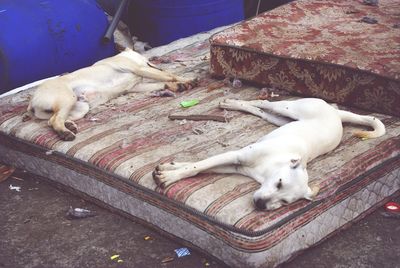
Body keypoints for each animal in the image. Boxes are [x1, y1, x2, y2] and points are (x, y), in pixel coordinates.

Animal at [25, 48, 197, 140]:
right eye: (148, 61)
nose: (158, 64)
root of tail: (32, 101)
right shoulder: (140, 69)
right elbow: (168, 75)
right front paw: (187, 80)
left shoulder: (137, 86)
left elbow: (162, 82)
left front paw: (179, 85)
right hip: (68, 99)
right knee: (55, 120)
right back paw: (65, 133)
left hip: (80, 107)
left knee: (52, 120)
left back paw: (68, 126)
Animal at [152, 97, 384, 210]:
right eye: (280, 183)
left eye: (285, 203)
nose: (261, 205)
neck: (270, 167)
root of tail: (336, 113)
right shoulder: (235, 155)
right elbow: (198, 166)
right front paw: (170, 175)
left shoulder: (234, 165)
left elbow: (198, 168)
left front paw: (170, 170)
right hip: (289, 108)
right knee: (263, 102)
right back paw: (231, 103)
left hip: (280, 120)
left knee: (261, 112)